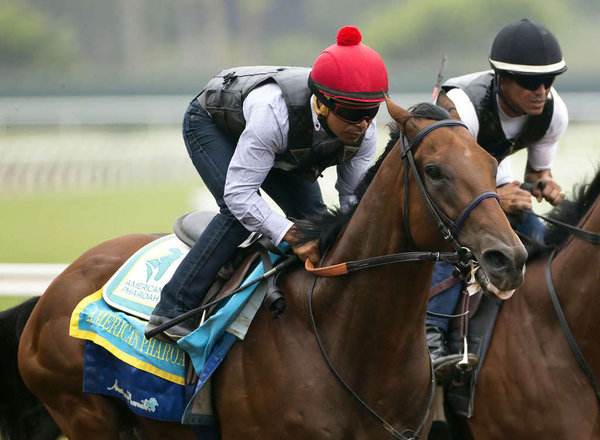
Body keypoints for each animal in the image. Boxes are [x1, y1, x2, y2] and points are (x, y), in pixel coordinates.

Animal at [4, 99, 524, 440]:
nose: (509, 259)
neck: (341, 334)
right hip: (82, 412)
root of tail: (52, 291)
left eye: (490, 163)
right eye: (434, 171)